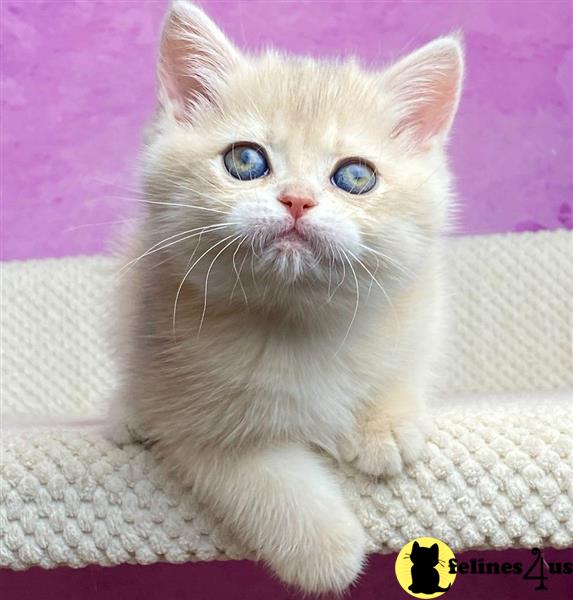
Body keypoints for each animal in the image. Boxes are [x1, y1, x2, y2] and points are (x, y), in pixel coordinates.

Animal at [109, 0, 462, 592]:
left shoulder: (420, 299)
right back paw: (125, 414)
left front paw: (385, 425)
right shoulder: (183, 405)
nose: (297, 200)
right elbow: (257, 474)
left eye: (355, 176)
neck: (293, 318)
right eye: (246, 161)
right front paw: (328, 550)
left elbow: (405, 359)